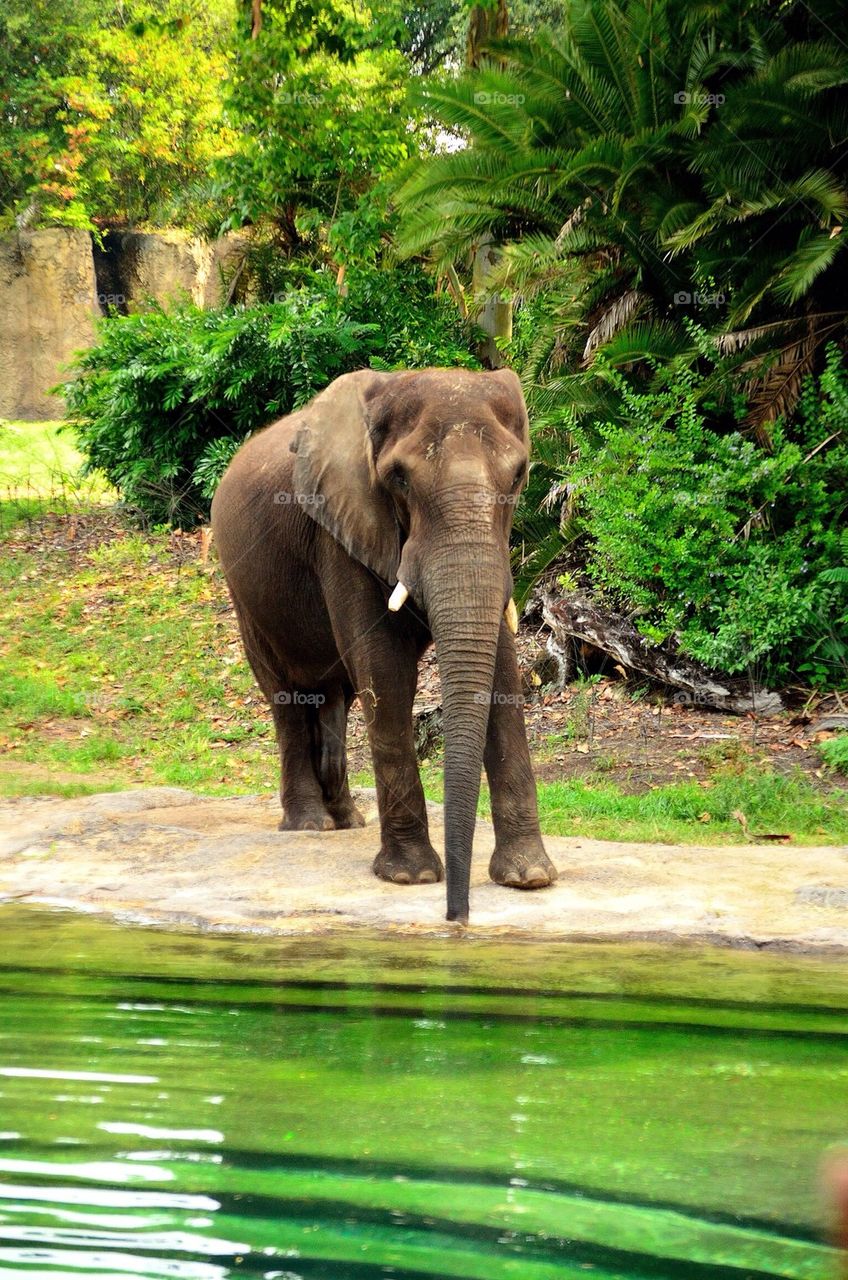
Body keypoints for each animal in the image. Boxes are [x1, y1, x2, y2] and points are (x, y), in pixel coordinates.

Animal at [211, 366, 557, 923]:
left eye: (520, 475)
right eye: (398, 479)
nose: (457, 918)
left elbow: (502, 671)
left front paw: (529, 878)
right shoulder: (339, 531)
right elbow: (386, 673)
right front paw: (409, 878)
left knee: (334, 693)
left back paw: (347, 820)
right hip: (245, 592)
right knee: (286, 695)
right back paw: (310, 826)